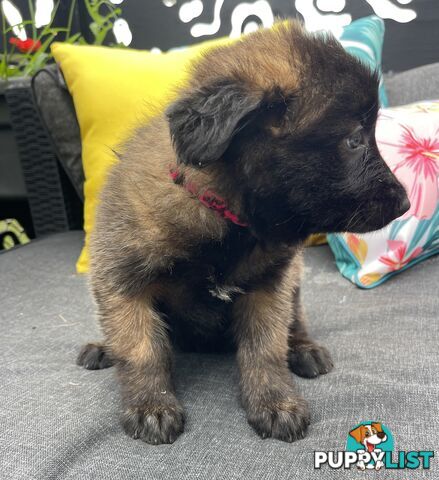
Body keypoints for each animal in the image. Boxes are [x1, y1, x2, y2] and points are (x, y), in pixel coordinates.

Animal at [77, 20, 410, 444]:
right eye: (354, 139)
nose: (406, 203)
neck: (223, 215)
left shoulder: (269, 286)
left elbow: (264, 349)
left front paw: (274, 401)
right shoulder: (123, 283)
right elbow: (141, 350)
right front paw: (152, 404)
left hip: (294, 282)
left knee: (296, 321)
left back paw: (304, 349)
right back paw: (102, 348)